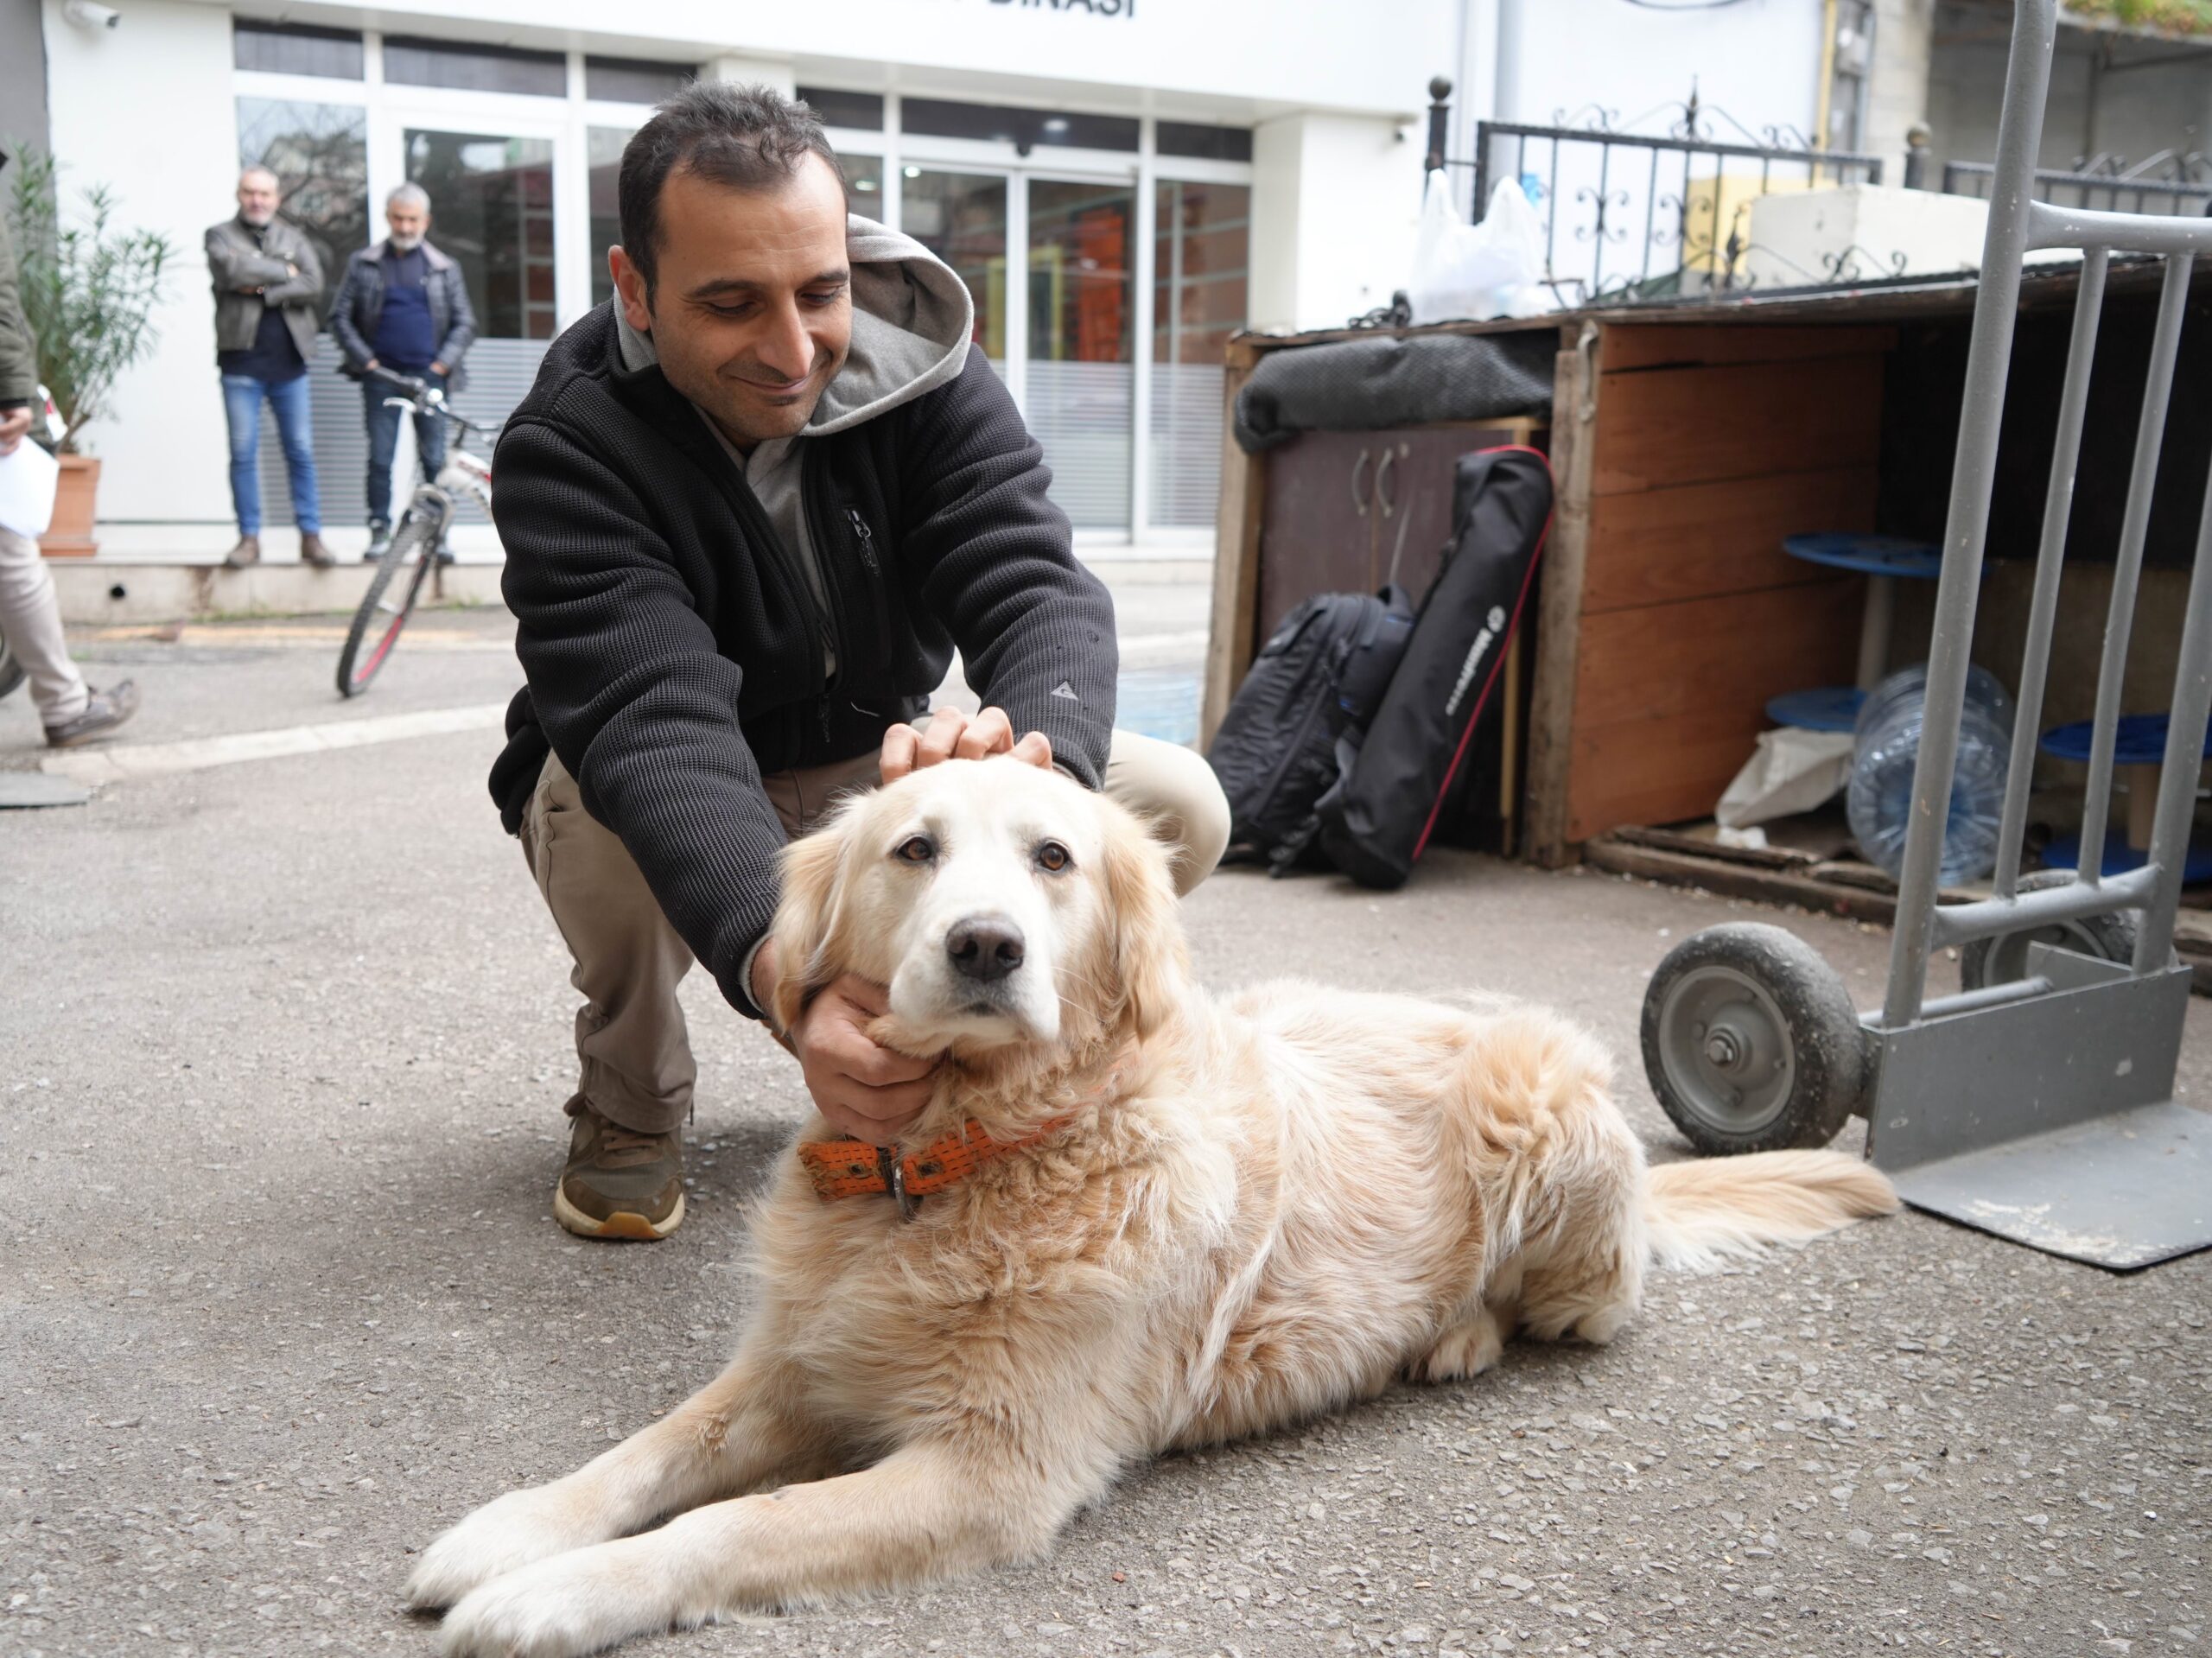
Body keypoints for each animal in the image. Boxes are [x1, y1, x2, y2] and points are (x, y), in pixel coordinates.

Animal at [407, 760, 1893, 1653]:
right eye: (914, 849)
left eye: (1054, 857)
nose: (986, 945)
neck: (950, 1166)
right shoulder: (796, 1362)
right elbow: (649, 1453)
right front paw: (508, 1531)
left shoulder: (999, 1470)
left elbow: (735, 1522)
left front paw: (551, 1597)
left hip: (1545, 1107)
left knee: (1576, 1306)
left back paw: (1458, 1333)